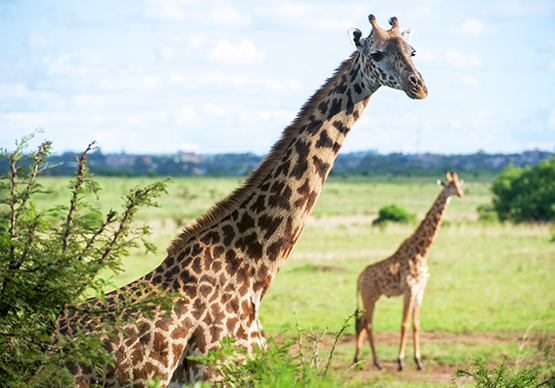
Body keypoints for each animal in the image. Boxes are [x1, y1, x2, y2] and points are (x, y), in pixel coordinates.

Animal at [354, 172, 462, 370]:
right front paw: (401, 361)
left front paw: (419, 361)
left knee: (362, 323)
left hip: (373, 297)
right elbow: (404, 323)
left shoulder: (420, 291)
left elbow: (416, 324)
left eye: (459, 184)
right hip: (369, 296)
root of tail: (358, 279)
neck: (422, 251)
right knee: (369, 323)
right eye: (449, 185)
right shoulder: (409, 290)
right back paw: (377, 362)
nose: (461, 193)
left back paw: (357, 359)